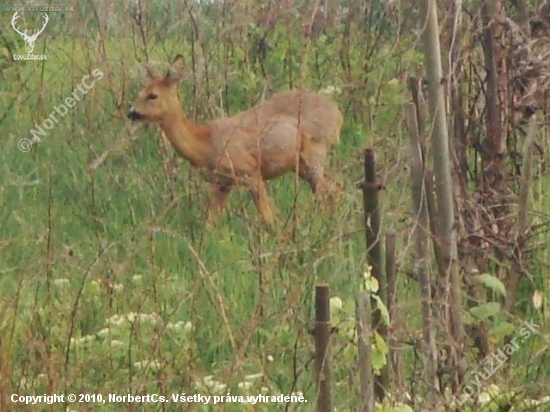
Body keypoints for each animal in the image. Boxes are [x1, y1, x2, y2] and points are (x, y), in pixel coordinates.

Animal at [129, 55, 344, 225]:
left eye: (152, 95)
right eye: (139, 93)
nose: (131, 112)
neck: (204, 144)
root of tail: (338, 113)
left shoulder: (250, 171)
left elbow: (269, 218)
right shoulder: (221, 184)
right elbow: (210, 223)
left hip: (314, 151)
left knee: (330, 189)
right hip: (301, 164)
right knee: (333, 187)